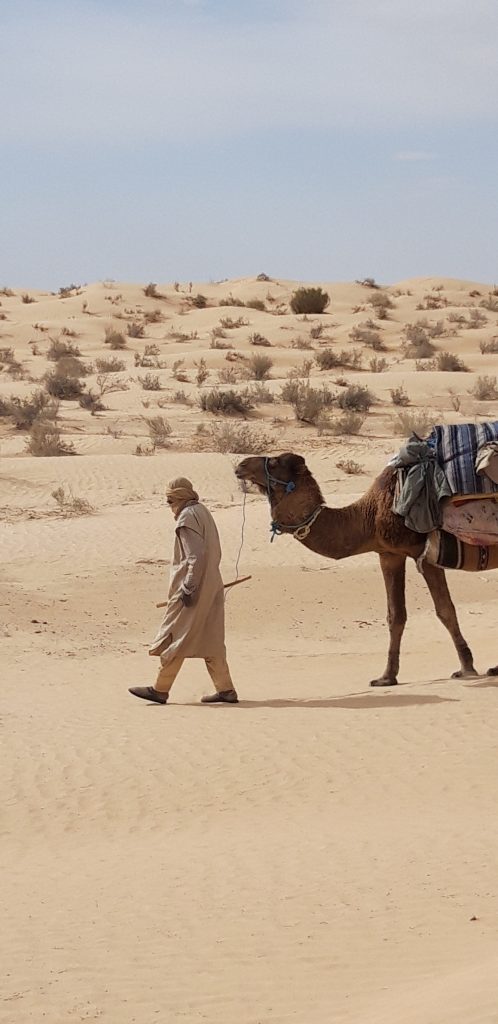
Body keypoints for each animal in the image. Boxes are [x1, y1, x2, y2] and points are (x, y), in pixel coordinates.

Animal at [234, 450, 498, 684]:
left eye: (274, 461)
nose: (241, 465)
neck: (368, 517)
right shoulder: (389, 553)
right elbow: (395, 615)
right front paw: (386, 677)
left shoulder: (425, 553)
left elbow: (445, 610)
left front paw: (466, 668)